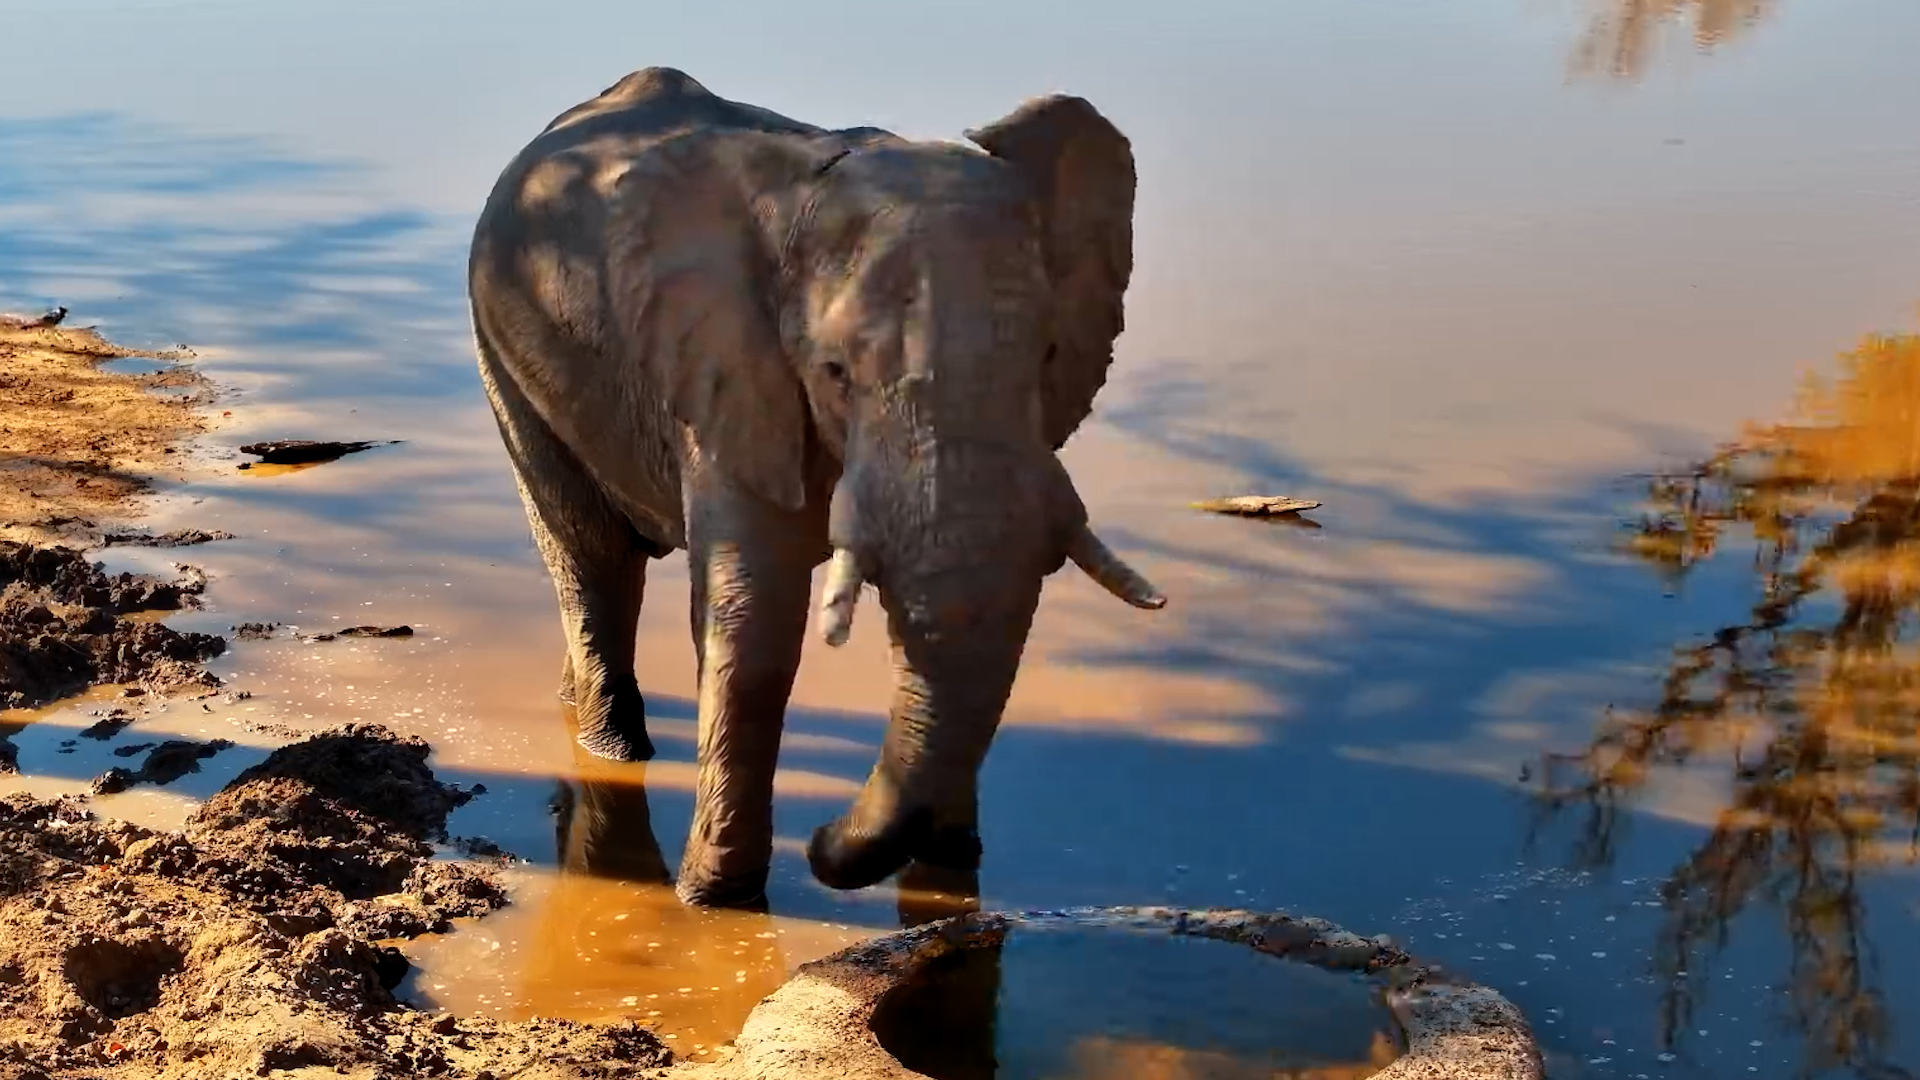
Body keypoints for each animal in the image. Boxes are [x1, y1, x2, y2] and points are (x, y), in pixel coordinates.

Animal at [468, 66, 1164, 908]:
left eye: (1048, 356)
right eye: (834, 372)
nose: (824, 840)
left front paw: (946, 873)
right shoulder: (729, 366)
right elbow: (754, 619)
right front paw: (717, 903)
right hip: (507, 358)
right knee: (591, 559)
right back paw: (617, 748)